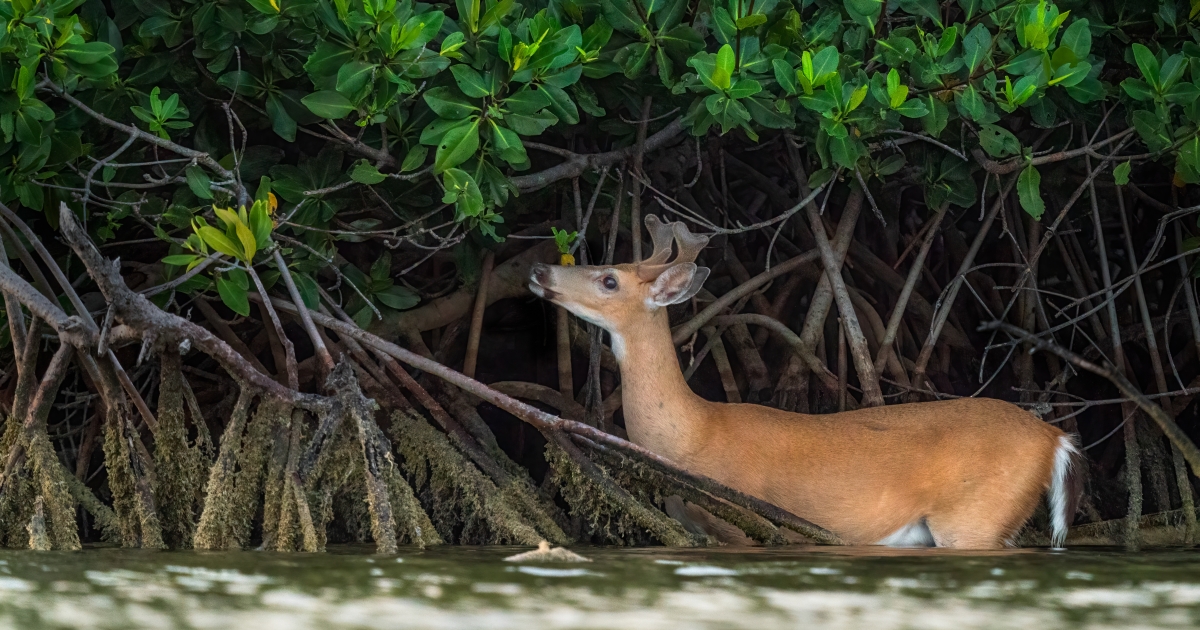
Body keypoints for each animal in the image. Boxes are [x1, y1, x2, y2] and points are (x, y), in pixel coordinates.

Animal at [530, 214, 1084, 544]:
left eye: (609, 279)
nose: (539, 270)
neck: (691, 436)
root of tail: (1054, 437)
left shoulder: (743, 527)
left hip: (975, 516)